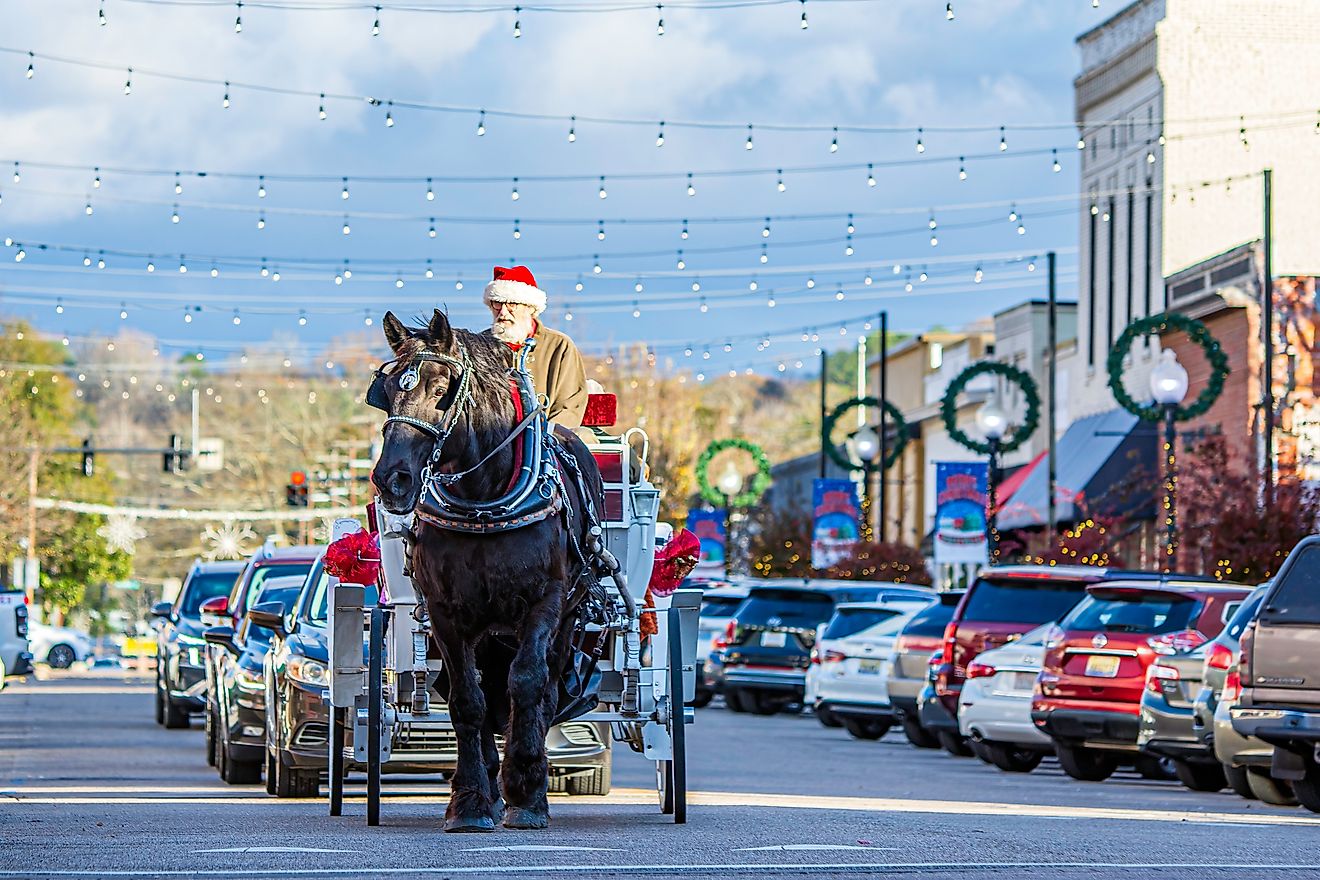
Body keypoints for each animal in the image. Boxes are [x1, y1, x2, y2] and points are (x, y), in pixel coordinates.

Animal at [366, 311, 604, 833]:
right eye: (387, 390)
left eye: (442, 389)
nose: (392, 479)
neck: (483, 501)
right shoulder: (445, 612)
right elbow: (466, 700)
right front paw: (471, 801)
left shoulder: (545, 602)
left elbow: (528, 683)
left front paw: (528, 794)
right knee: (485, 694)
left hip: (565, 622)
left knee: (543, 690)